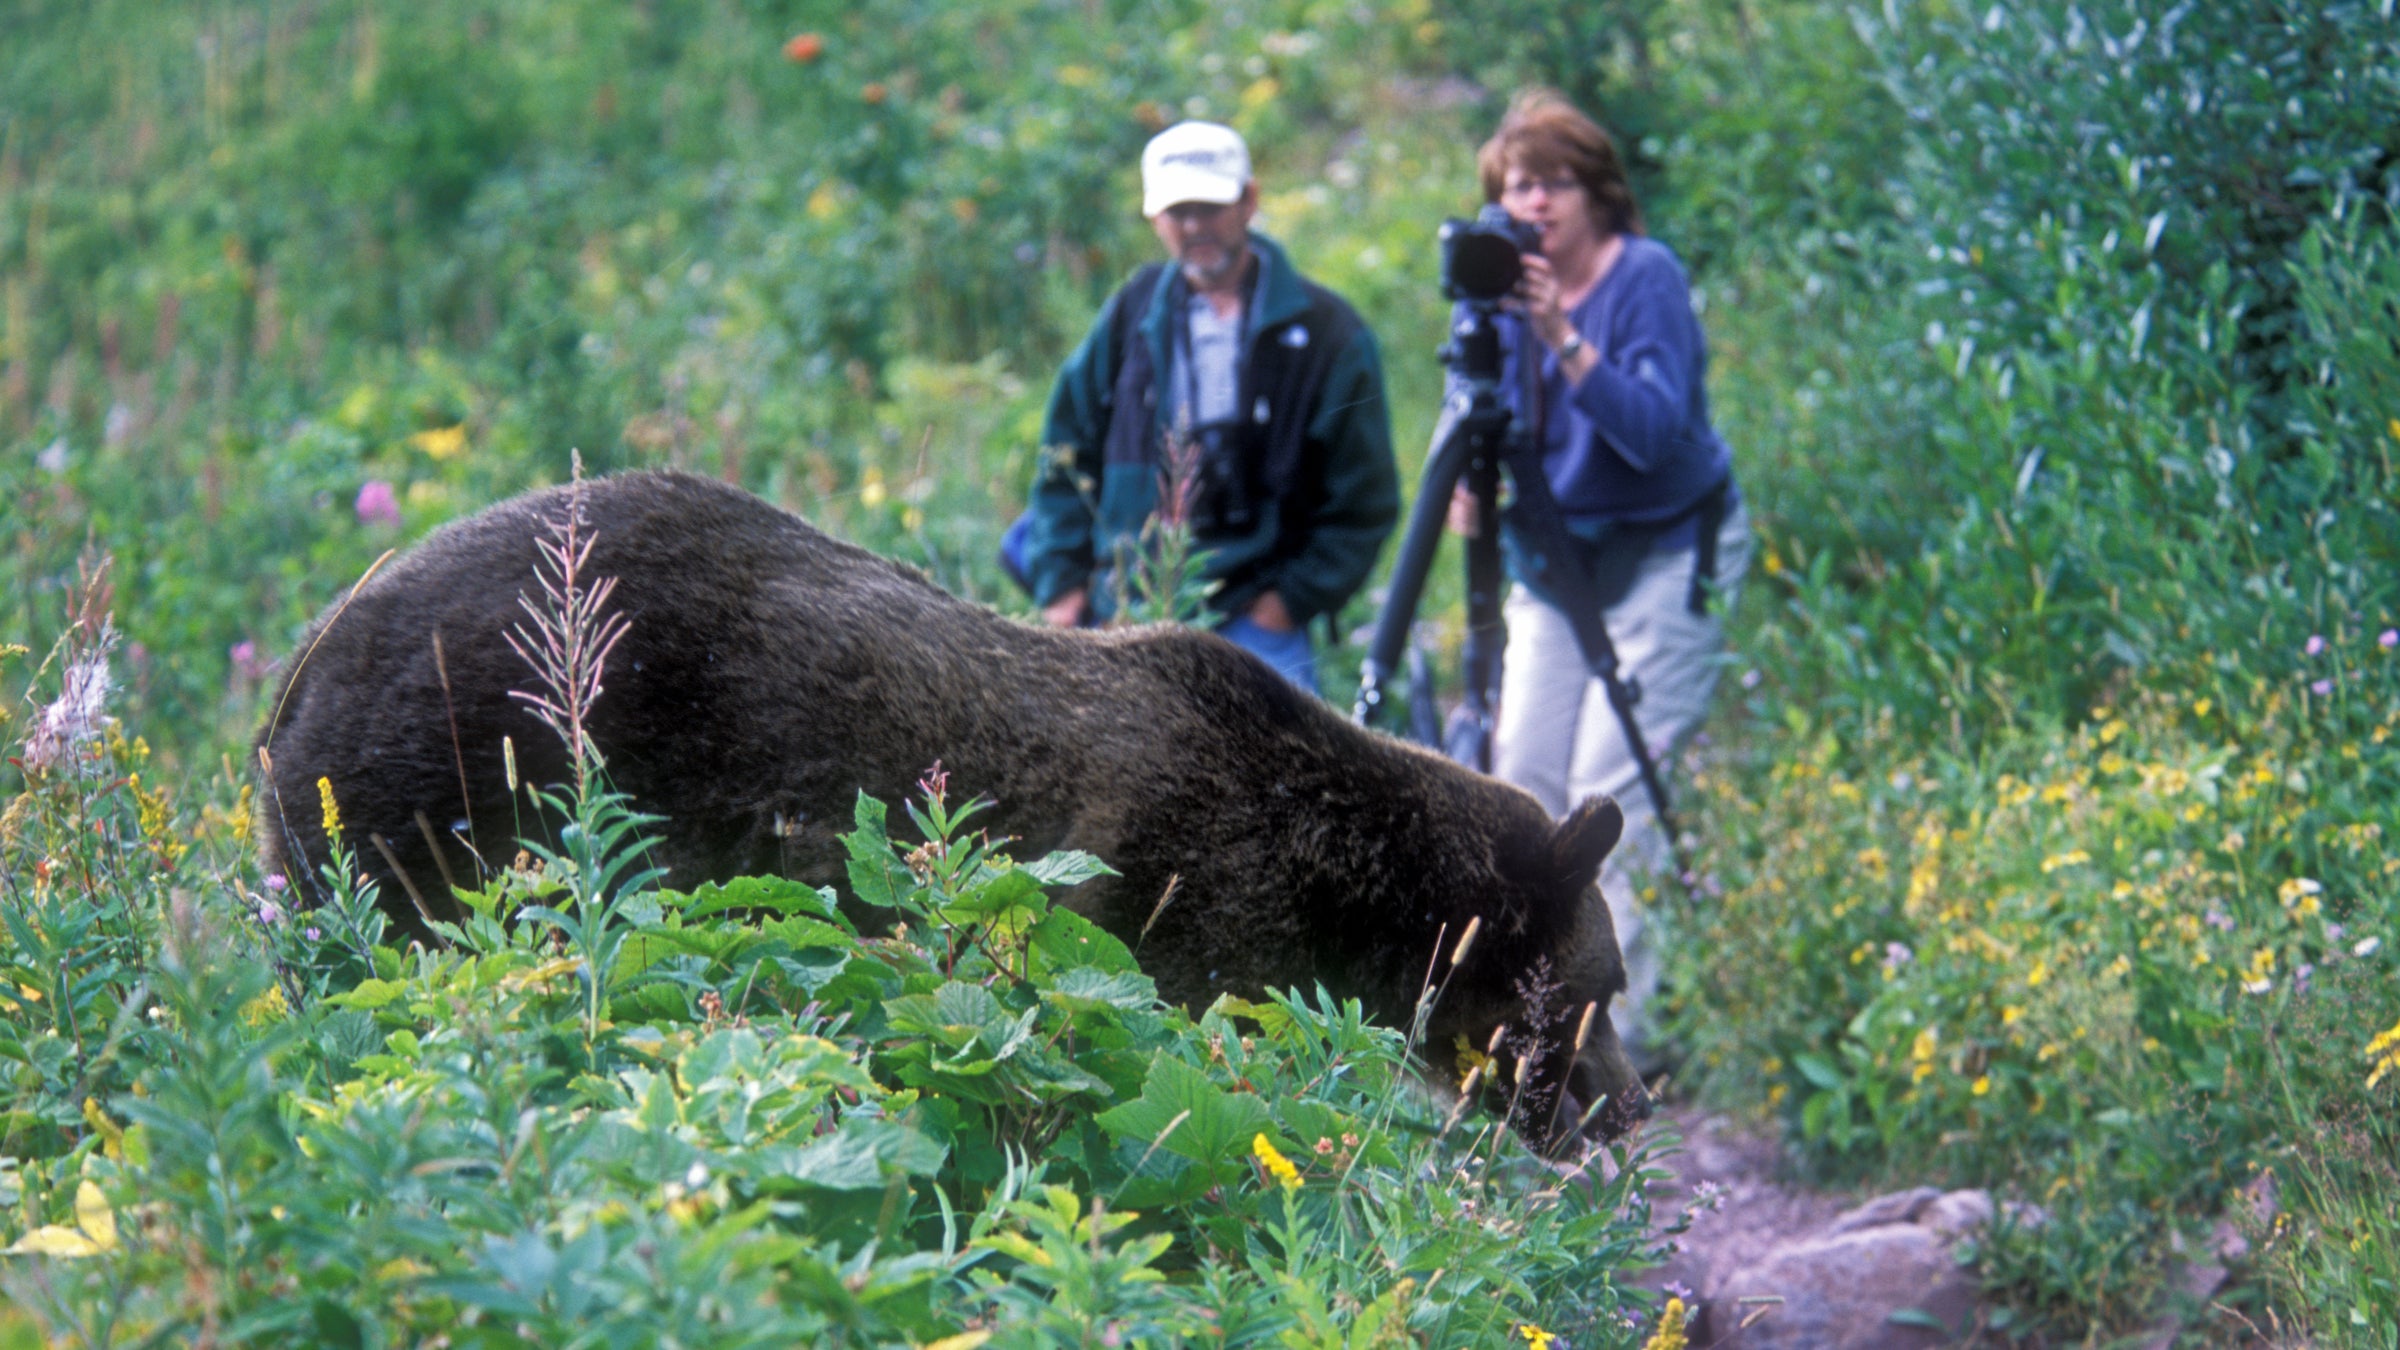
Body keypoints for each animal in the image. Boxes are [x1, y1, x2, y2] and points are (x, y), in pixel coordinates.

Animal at [262, 468, 1651, 1138]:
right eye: (1610, 985)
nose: (1629, 1109)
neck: (1347, 886)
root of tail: (306, 650)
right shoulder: (1168, 894)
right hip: (444, 788)